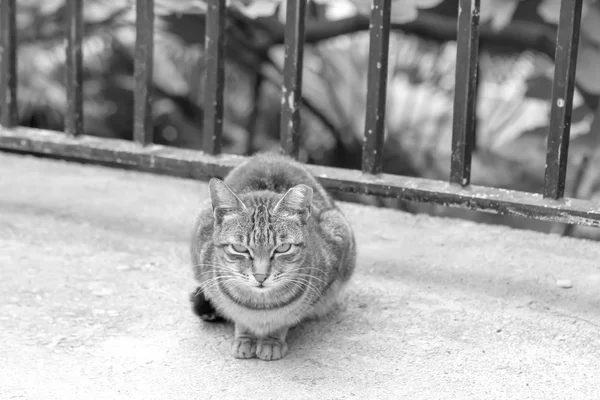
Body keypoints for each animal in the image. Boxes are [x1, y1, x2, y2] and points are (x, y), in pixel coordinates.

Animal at [190, 152, 354, 360]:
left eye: (283, 248)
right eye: (239, 248)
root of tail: (270, 154)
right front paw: (245, 338)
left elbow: (284, 320)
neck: (260, 307)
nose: (261, 276)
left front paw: (272, 341)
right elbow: (240, 318)